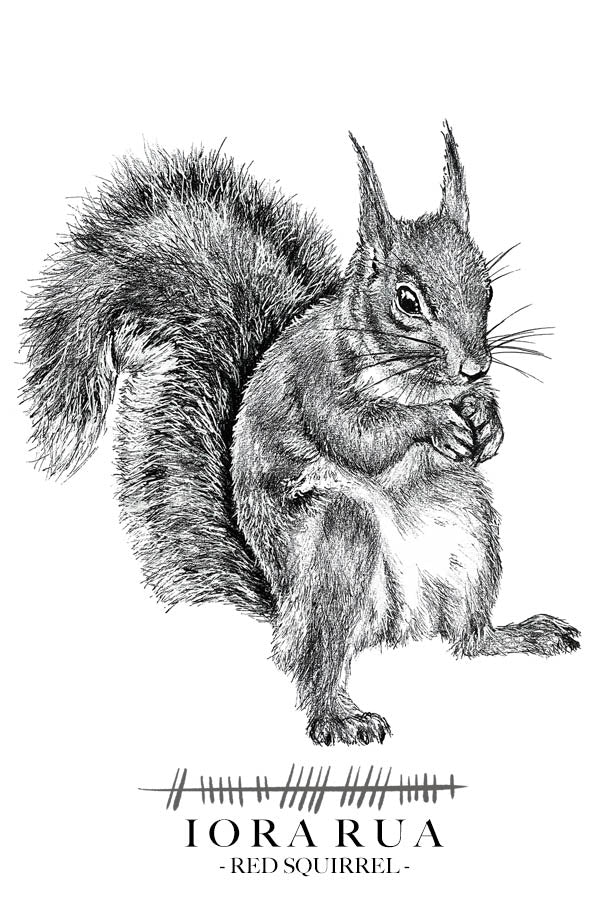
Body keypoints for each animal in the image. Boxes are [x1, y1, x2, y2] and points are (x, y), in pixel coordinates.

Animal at [23, 124, 580, 745]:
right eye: (408, 300)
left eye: (486, 290)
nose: (475, 366)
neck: (404, 374)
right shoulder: (317, 383)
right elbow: (360, 437)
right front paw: (435, 422)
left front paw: (487, 420)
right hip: (336, 546)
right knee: (312, 659)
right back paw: (339, 714)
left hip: (473, 537)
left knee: (466, 641)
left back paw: (520, 635)